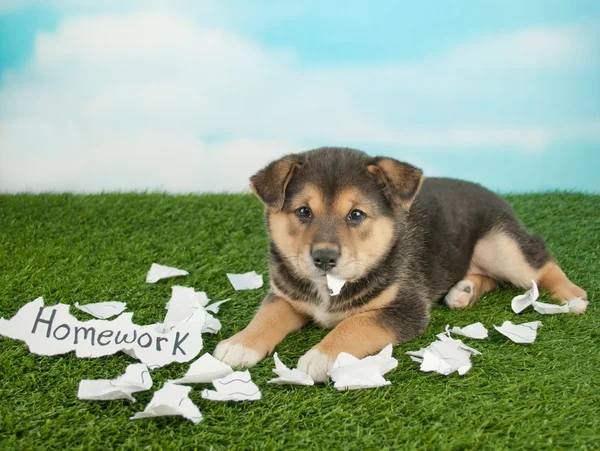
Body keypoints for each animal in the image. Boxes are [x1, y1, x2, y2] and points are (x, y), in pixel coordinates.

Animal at [213, 147, 588, 382]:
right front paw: (240, 343)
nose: (324, 258)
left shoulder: (404, 308)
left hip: (501, 245)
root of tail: (495, 194)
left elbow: (354, 325)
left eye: (356, 215)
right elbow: (266, 316)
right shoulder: (286, 296)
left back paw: (573, 297)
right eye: (303, 211)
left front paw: (322, 356)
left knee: (538, 259)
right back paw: (464, 291)